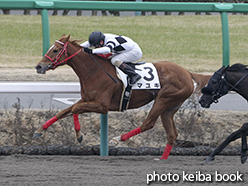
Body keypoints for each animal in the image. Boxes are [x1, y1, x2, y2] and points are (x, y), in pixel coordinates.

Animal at [34, 34, 210, 160]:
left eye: (55, 50)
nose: (39, 66)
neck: (94, 72)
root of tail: (187, 72)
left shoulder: (102, 106)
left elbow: (75, 109)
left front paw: (79, 135)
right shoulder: (86, 100)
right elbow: (64, 111)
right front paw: (39, 130)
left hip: (164, 99)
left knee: (148, 123)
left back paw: (116, 139)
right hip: (170, 107)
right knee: (172, 134)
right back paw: (161, 159)